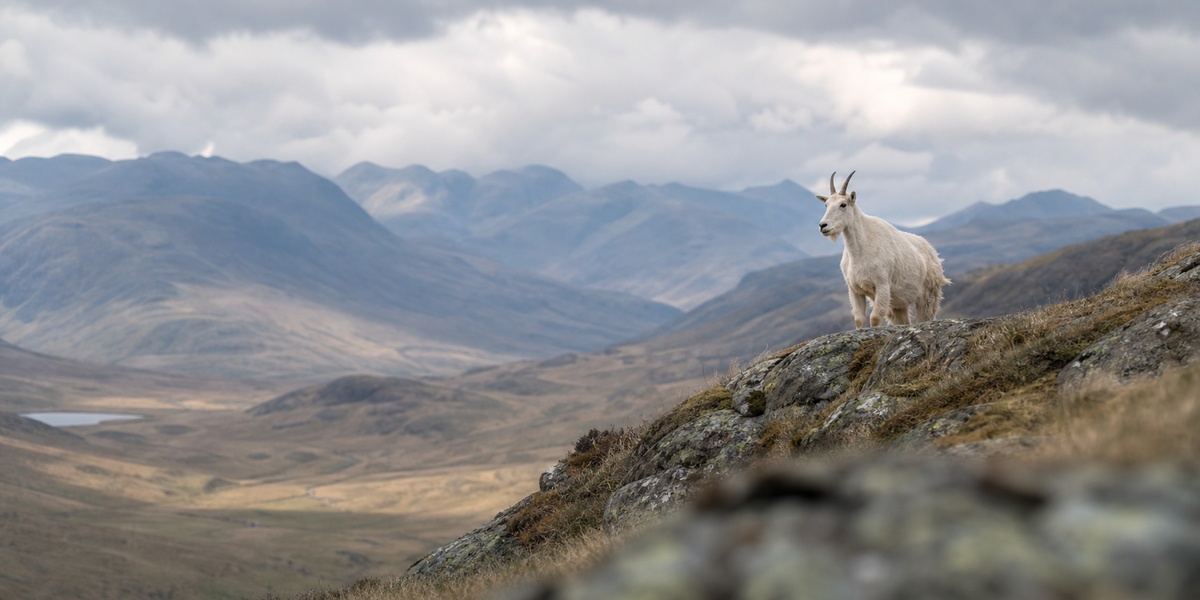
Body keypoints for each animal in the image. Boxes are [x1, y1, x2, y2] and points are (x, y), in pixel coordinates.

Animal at [816, 171, 950, 328]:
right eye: (826, 204)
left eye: (843, 204)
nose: (823, 225)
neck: (859, 251)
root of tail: (934, 254)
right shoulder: (854, 290)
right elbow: (859, 319)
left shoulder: (882, 286)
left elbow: (874, 318)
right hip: (899, 304)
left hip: (928, 295)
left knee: (925, 317)